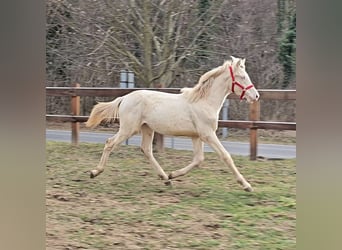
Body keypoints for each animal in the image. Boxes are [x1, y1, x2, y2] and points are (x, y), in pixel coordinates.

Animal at [85, 56, 260, 192]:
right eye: (242, 77)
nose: (256, 96)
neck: (204, 102)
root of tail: (125, 98)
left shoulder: (197, 136)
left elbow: (198, 159)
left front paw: (173, 174)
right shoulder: (207, 134)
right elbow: (226, 156)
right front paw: (247, 185)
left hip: (147, 128)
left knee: (146, 150)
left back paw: (166, 178)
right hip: (128, 129)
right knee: (110, 143)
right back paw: (95, 172)